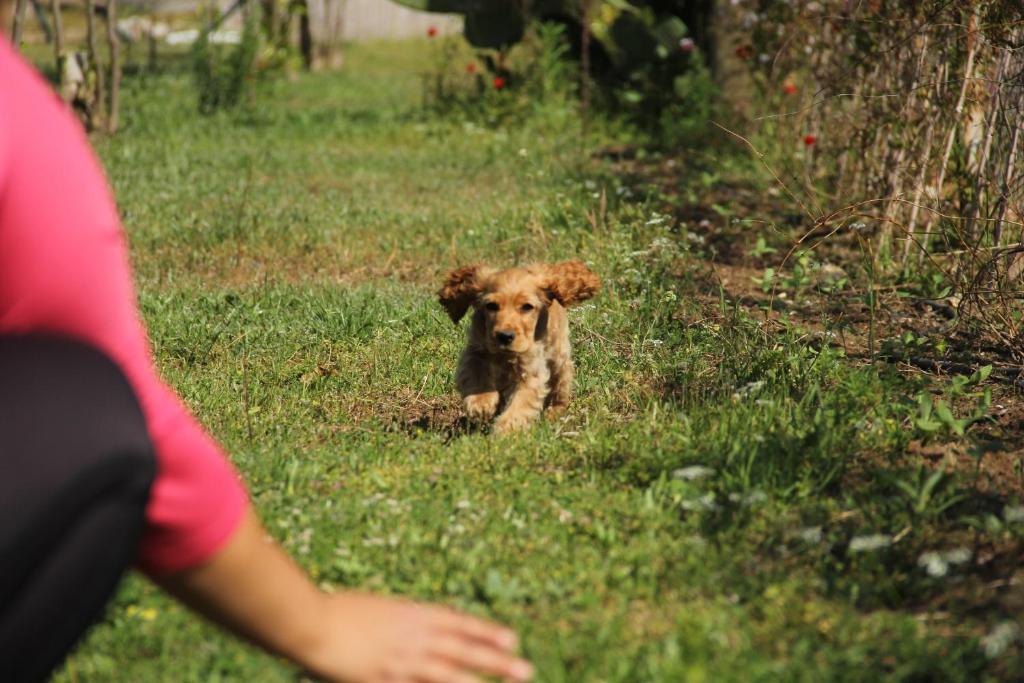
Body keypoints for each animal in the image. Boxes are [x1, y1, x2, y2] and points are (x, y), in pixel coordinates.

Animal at [438, 260, 598, 432]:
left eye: (527, 306)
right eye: (491, 305)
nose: (505, 336)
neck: (504, 355)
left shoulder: (530, 370)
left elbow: (520, 404)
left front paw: (505, 429)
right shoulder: (475, 351)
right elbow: (476, 373)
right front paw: (481, 403)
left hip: (559, 356)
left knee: (561, 384)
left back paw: (554, 412)